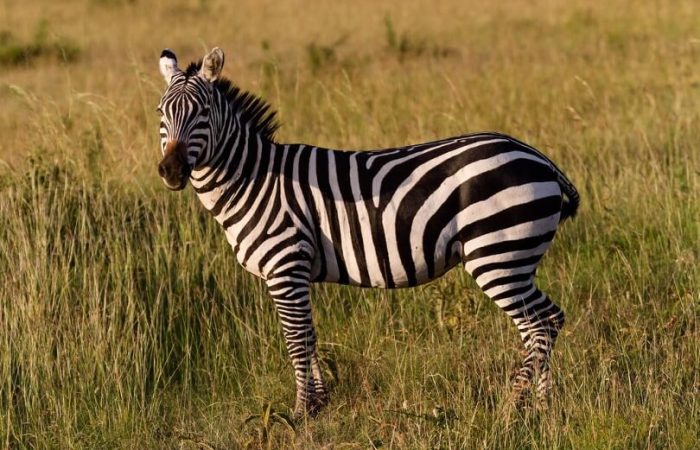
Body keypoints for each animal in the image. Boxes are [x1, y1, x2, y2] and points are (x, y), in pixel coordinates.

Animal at [156, 47, 580, 419]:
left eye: (202, 112)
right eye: (161, 112)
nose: (171, 170)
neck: (254, 180)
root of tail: (537, 156)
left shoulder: (285, 268)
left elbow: (296, 340)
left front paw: (299, 412)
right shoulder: (298, 273)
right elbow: (310, 335)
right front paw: (319, 404)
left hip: (499, 256)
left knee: (543, 323)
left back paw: (512, 406)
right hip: (514, 260)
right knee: (542, 324)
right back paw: (543, 408)